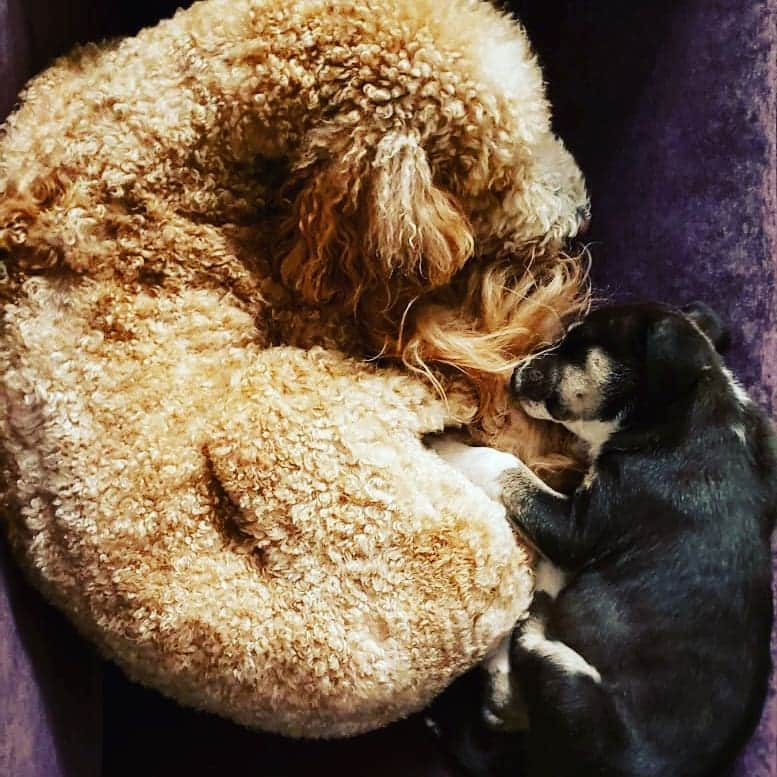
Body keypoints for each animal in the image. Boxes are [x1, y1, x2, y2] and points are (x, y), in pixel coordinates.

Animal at [430, 302, 776, 776]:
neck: (683, 409)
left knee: (514, 677)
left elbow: (503, 466)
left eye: (579, 347)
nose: (517, 372)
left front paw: (447, 445)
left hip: (572, 687)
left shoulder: (579, 527)